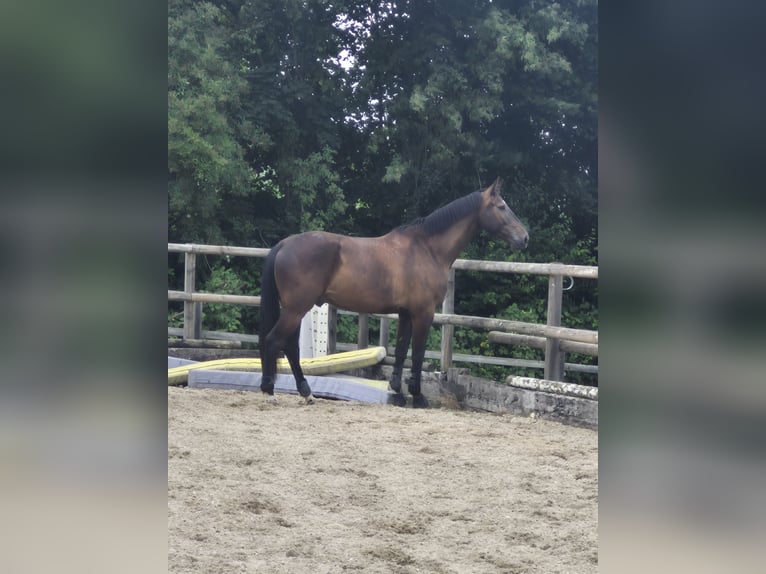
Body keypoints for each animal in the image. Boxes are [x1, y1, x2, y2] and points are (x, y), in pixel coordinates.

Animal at [258, 178, 529, 407]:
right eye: (502, 206)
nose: (524, 237)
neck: (427, 249)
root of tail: (284, 244)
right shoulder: (423, 313)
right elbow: (417, 354)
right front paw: (417, 396)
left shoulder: (405, 313)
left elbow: (400, 351)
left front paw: (397, 391)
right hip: (296, 309)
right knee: (274, 341)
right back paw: (269, 390)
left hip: (296, 309)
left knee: (290, 348)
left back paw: (305, 392)